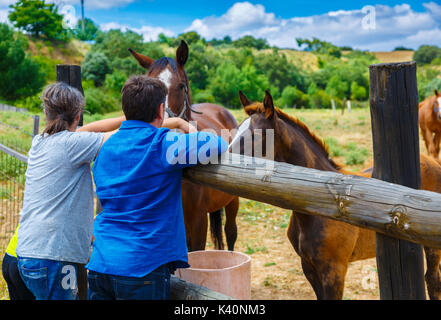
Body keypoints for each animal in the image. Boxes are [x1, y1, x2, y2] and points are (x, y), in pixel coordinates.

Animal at [234, 90, 441, 300]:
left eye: (256, 136)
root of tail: (433, 162)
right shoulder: (308, 266)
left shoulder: (334, 270)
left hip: (432, 245)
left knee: (432, 280)